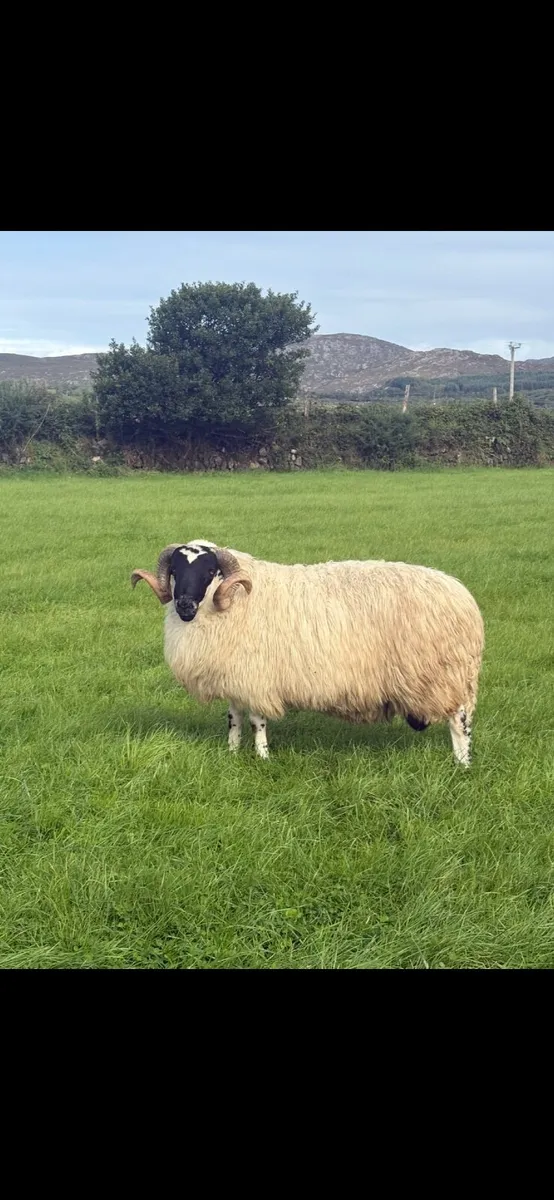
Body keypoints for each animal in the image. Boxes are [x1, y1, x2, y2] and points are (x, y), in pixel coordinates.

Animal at [131, 539, 484, 766]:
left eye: (208, 572)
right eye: (175, 571)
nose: (184, 606)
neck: (233, 602)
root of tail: (462, 596)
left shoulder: (258, 677)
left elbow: (257, 721)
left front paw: (263, 757)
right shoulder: (236, 677)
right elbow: (234, 718)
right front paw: (231, 753)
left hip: (445, 676)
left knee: (460, 721)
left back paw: (462, 763)